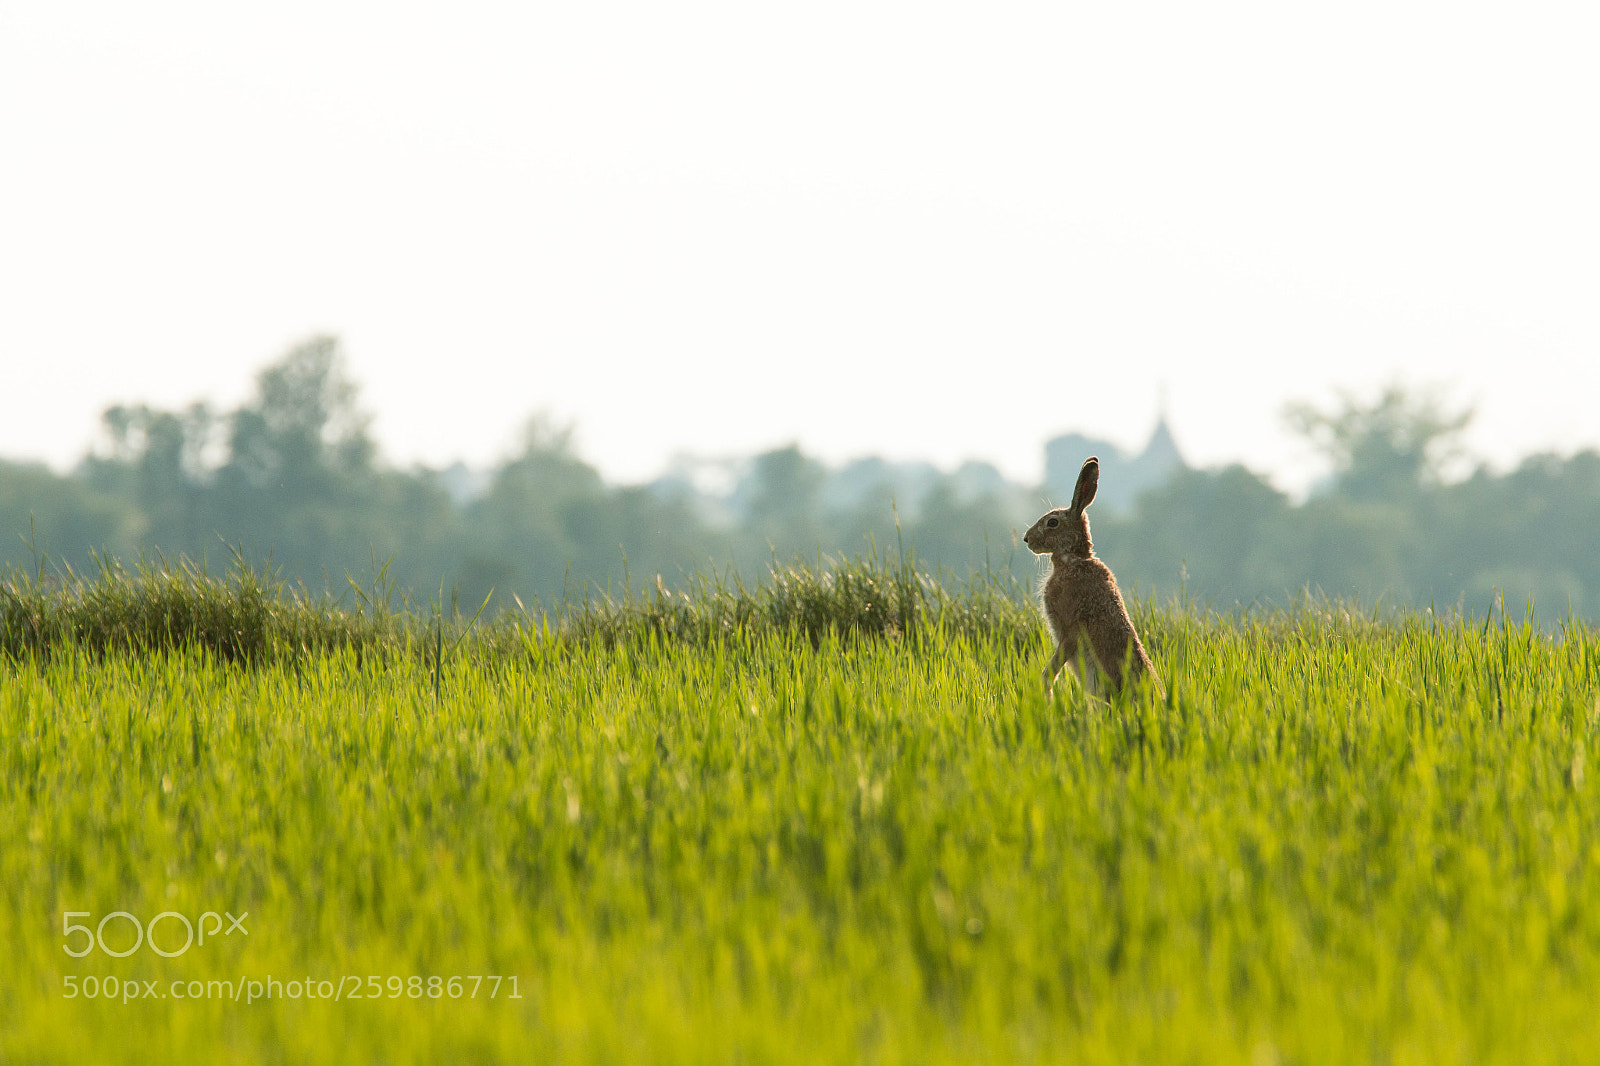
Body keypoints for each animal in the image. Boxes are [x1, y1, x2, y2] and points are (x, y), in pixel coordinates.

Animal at [1024, 456, 1163, 698]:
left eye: (1052, 522)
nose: (1027, 539)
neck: (1075, 558)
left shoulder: (1070, 630)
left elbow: (1052, 669)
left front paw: (1045, 694)